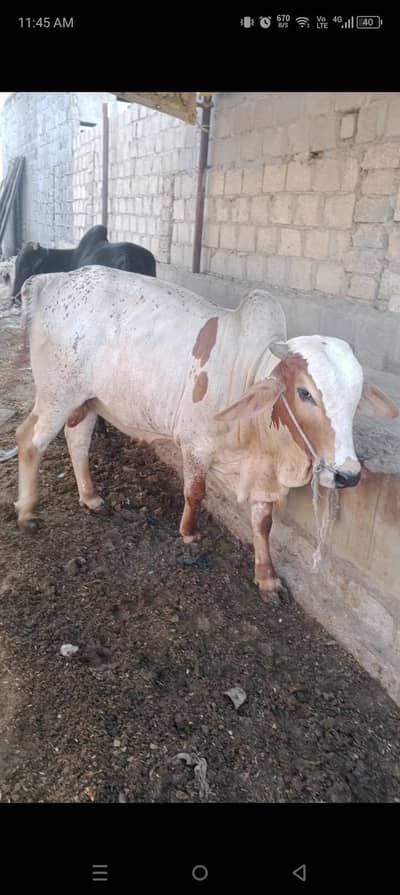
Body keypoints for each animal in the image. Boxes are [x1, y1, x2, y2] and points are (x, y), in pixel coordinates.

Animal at [15, 266, 398, 594]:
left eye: (357, 395)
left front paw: (267, 578)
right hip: (57, 394)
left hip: (88, 400)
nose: (348, 474)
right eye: (305, 393)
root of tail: (52, 280)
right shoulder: (195, 445)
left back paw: (91, 498)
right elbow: (195, 493)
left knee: (77, 439)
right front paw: (189, 534)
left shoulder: (262, 474)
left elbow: (263, 522)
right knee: (29, 440)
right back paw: (28, 512)